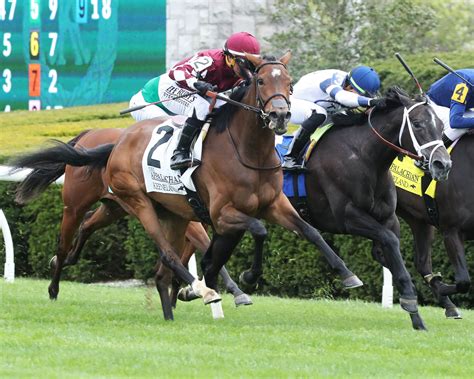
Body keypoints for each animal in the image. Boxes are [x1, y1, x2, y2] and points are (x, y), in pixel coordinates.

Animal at [12, 127, 252, 308]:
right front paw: (228, 291)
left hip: (114, 207)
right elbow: (198, 246)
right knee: (64, 242)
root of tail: (88, 133)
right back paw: (53, 287)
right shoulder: (190, 219)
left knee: (88, 224)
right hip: (75, 205)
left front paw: (185, 292)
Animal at [243, 87, 454, 332]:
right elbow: (390, 242)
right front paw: (412, 300)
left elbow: (389, 253)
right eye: (418, 124)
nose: (443, 164)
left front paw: (421, 314)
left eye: (440, 126)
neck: (364, 156)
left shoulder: (388, 218)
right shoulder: (347, 217)